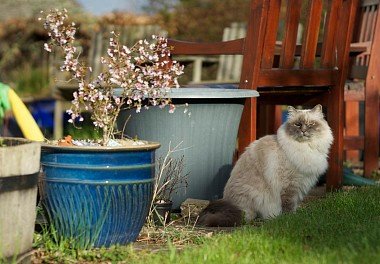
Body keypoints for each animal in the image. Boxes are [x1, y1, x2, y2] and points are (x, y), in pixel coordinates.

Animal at [197, 105, 334, 227]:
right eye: (298, 124)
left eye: (311, 124)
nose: (303, 131)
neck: (306, 148)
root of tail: (230, 203)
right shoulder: (290, 186)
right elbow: (288, 206)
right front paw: (291, 219)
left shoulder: (300, 184)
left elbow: (294, 205)